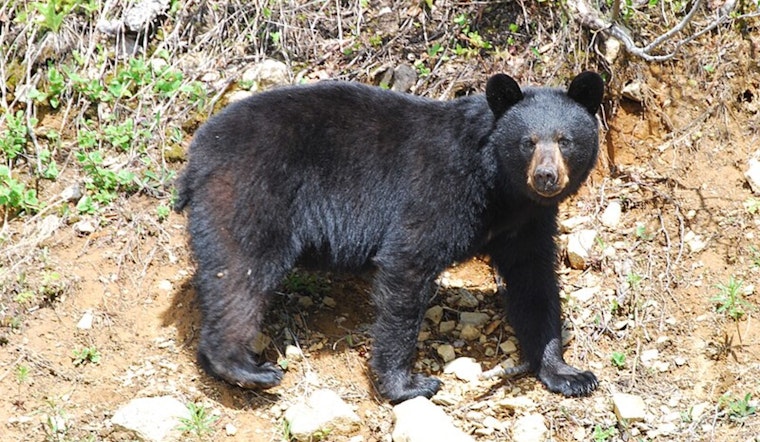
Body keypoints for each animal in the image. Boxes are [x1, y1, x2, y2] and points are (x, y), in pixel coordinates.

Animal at [173, 71, 605, 404]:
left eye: (565, 139)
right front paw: (408, 385)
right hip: (252, 191)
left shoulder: (527, 223)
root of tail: (197, 154)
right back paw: (244, 367)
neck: (500, 188)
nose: (546, 176)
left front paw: (567, 373)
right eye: (527, 142)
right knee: (242, 272)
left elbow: (534, 283)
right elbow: (407, 264)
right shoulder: (440, 191)